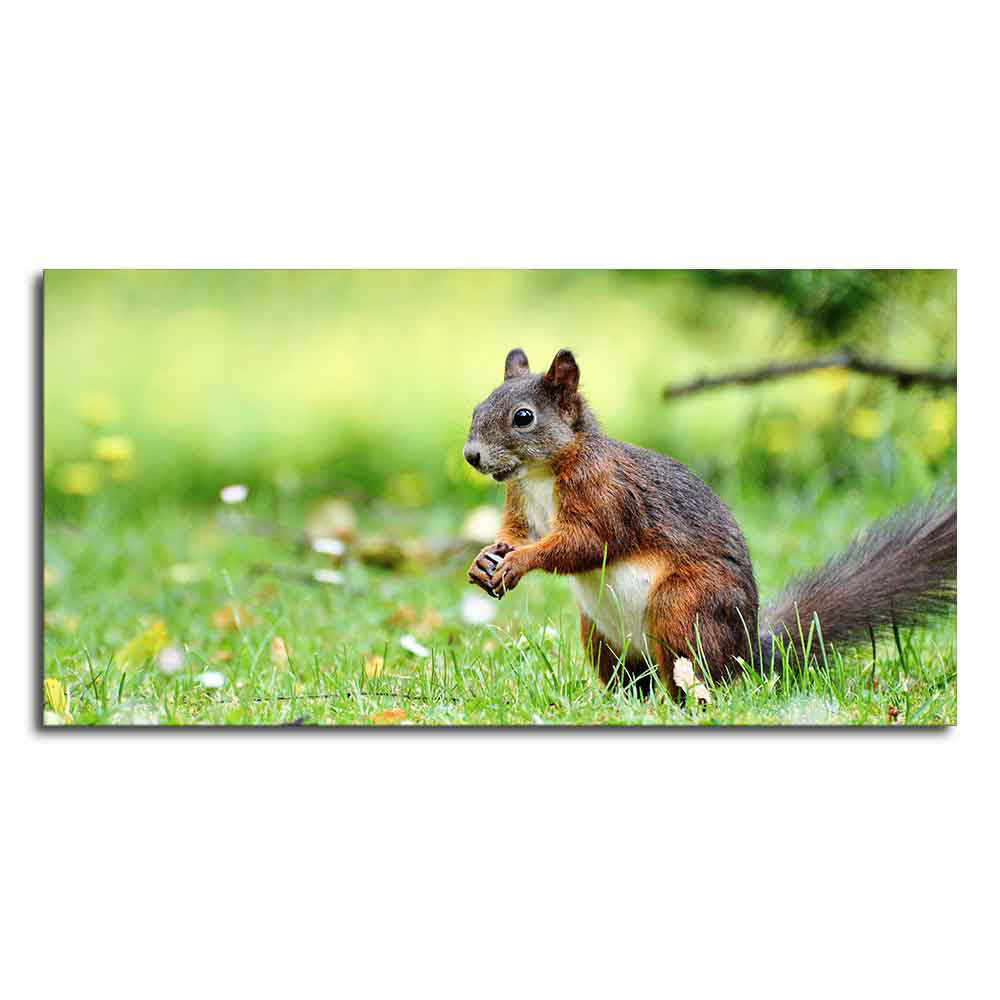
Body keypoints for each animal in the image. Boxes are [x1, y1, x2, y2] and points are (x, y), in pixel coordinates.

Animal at [464, 347, 957, 697]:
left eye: (523, 417)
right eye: (477, 408)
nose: (471, 456)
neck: (541, 474)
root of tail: (745, 653)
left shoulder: (606, 495)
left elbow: (585, 543)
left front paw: (520, 561)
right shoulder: (519, 501)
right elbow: (514, 532)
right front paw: (486, 558)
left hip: (683, 610)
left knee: (691, 676)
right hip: (600, 634)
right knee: (633, 681)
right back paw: (616, 701)